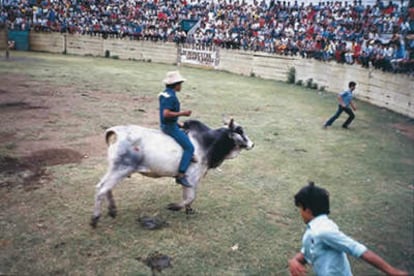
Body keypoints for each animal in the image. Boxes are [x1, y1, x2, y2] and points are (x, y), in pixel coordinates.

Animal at [90, 117, 252, 227]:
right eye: (239, 131)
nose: (252, 144)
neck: (208, 142)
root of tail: (116, 131)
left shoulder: (189, 180)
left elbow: (189, 198)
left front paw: (189, 210)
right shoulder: (191, 178)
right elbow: (190, 197)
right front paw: (174, 207)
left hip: (115, 169)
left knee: (103, 187)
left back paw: (112, 210)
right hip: (121, 169)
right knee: (101, 189)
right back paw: (95, 218)